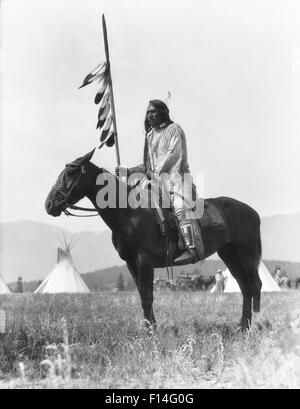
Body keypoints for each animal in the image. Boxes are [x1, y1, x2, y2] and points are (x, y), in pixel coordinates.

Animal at [45, 150, 262, 332]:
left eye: (70, 173)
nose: (49, 204)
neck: (127, 214)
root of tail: (253, 212)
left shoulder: (145, 260)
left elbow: (148, 297)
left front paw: (151, 332)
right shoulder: (131, 263)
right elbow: (143, 295)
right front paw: (150, 327)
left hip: (247, 253)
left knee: (255, 285)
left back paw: (257, 324)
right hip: (229, 253)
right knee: (244, 286)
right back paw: (244, 326)